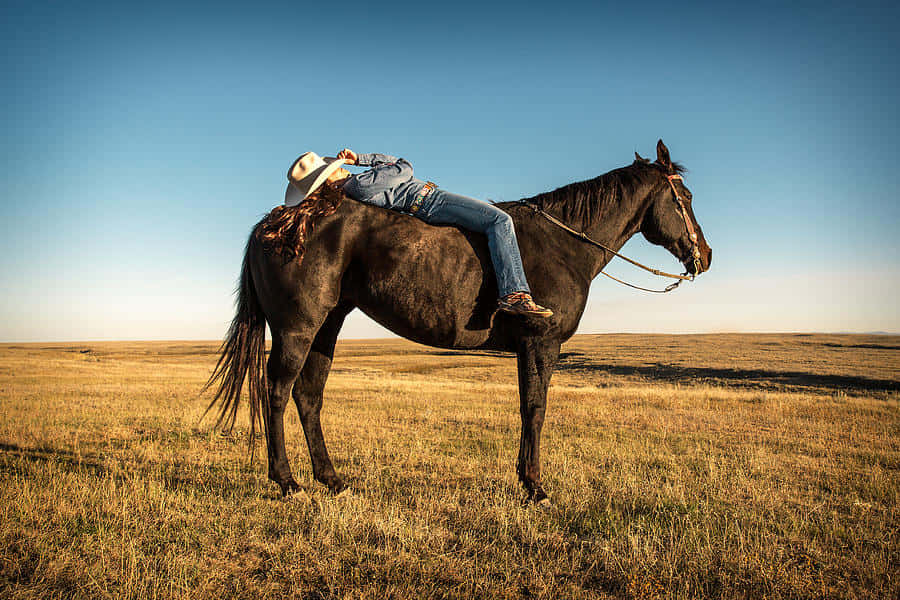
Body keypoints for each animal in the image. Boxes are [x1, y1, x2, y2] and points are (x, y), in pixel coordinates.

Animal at [205, 140, 712, 505]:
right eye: (684, 197)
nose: (704, 256)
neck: (563, 245)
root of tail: (281, 221)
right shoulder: (540, 344)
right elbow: (535, 409)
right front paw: (535, 487)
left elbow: (528, 409)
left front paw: (527, 481)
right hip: (297, 328)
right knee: (277, 392)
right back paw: (287, 482)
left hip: (326, 328)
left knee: (308, 397)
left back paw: (332, 479)